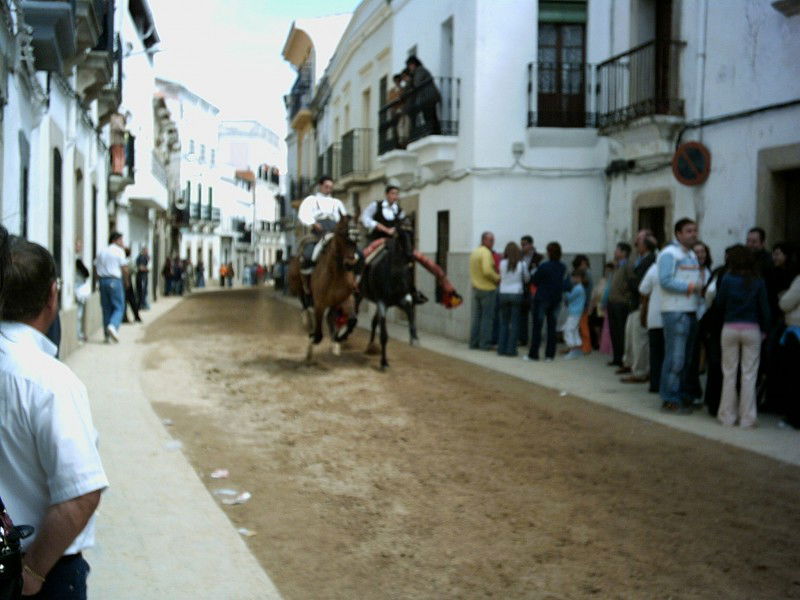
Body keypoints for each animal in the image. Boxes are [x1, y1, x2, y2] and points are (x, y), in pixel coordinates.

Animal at [288, 217, 360, 364]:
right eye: (342, 236)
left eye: (356, 240)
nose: (350, 264)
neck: (336, 273)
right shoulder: (320, 304)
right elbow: (318, 334)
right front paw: (313, 339)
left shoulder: (345, 299)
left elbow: (351, 320)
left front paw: (339, 337)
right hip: (299, 287)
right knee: (304, 302)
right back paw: (307, 321)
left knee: (331, 317)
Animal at [358, 220, 418, 370]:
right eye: (400, 234)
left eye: (412, 232)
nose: (410, 255)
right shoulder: (382, 302)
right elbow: (384, 335)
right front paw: (384, 362)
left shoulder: (401, 299)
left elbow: (410, 309)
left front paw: (414, 337)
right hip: (358, 294)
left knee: (374, 322)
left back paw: (370, 346)